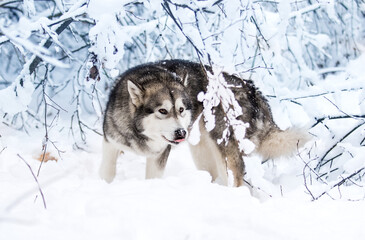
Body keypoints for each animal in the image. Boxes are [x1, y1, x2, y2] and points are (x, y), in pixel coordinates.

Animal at [99, 59, 308, 187]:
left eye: (181, 110)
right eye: (163, 111)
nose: (181, 133)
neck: (140, 133)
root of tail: (250, 88)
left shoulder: (160, 154)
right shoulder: (110, 143)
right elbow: (106, 174)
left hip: (223, 145)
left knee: (237, 178)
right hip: (201, 151)